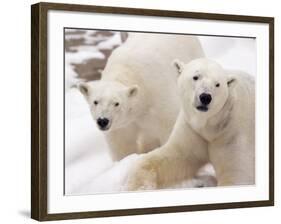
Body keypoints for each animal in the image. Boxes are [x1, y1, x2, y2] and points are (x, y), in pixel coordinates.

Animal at [78, 32, 203, 160]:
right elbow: (121, 143)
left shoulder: (158, 96)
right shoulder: (122, 125)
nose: (103, 121)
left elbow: (168, 128)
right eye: (95, 102)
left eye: (117, 103)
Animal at [124, 57, 254, 189]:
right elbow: (174, 156)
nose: (205, 97)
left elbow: (235, 173)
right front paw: (138, 186)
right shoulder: (192, 129)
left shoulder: (232, 133)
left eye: (218, 84)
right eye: (195, 77)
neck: (210, 125)